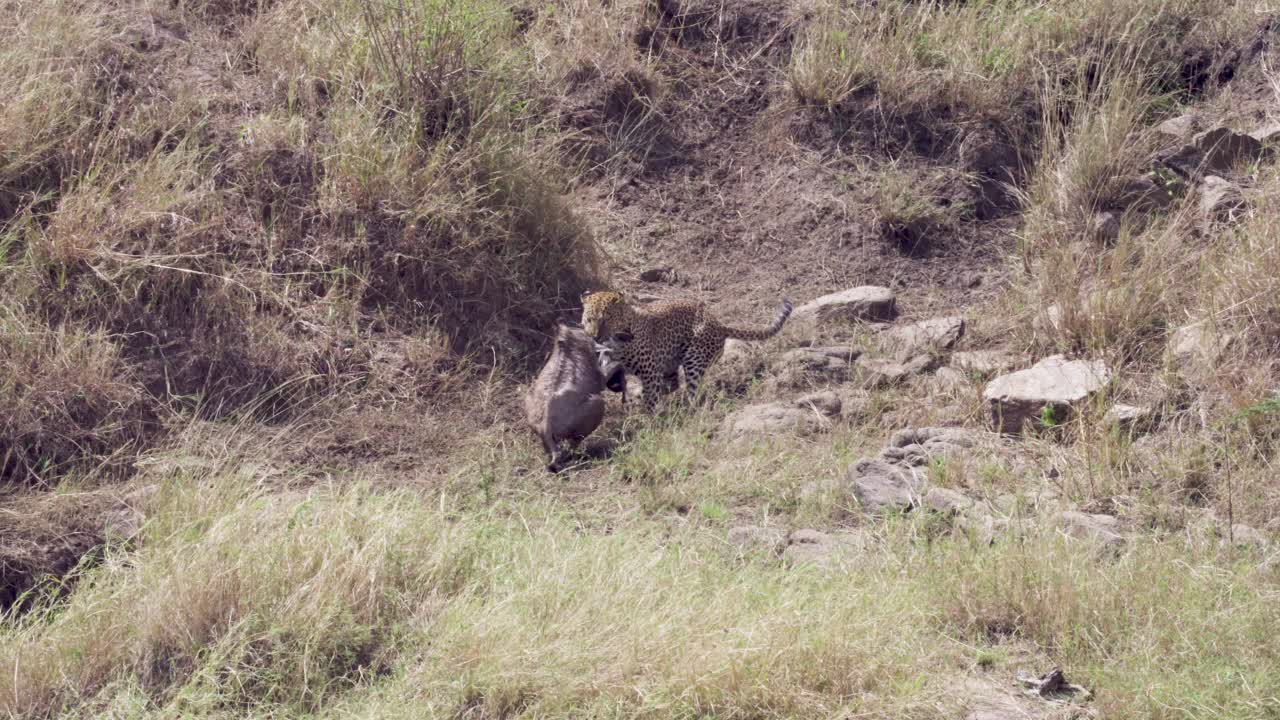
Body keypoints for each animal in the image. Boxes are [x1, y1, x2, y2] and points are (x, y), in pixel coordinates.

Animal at [581, 285, 788, 409]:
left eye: (606, 320)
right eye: (589, 319)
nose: (595, 336)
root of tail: (719, 324)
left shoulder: (650, 373)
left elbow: (650, 400)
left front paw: (647, 422)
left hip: (694, 359)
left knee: (692, 391)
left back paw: (688, 410)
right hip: (670, 364)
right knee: (673, 384)